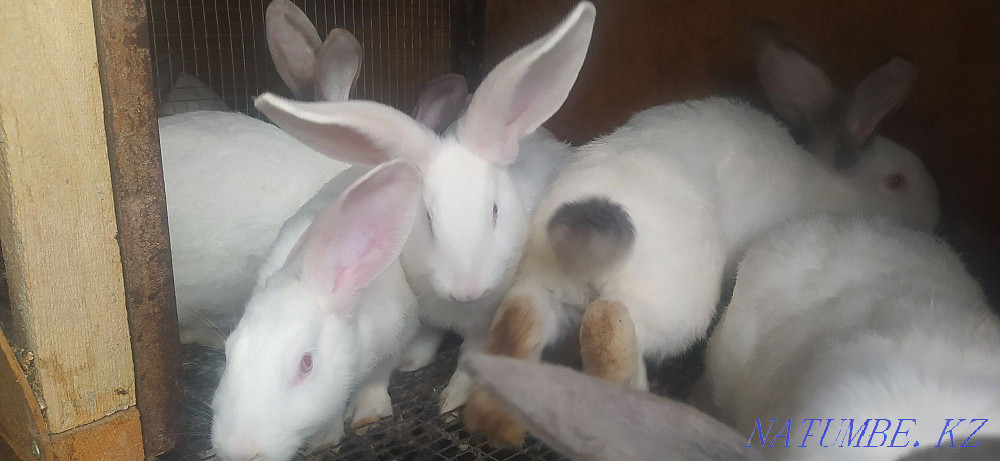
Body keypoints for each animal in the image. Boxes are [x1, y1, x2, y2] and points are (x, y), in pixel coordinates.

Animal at [211, 160, 423, 461]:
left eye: (306, 364)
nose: (240, 451)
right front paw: (323, 439)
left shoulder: (397, 334)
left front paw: (368, 412)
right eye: (229, 353)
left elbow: (378, 378)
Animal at [252, 1, 595, 412]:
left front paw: (453, 398)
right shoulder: (426, 311)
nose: (467, 289)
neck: (458, 310)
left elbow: (472, 358)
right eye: (429, 219)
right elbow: (425, 336)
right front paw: (411, 362)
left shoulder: (486, 323)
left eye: (495, 212)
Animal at [463, 22, 940, 446]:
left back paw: (497, 426)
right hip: (669, 307)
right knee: (607, 329)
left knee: (517, 323)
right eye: (897, 181)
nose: (937, 212)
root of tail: (581, 232)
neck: (829, 185)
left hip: (541, 287)